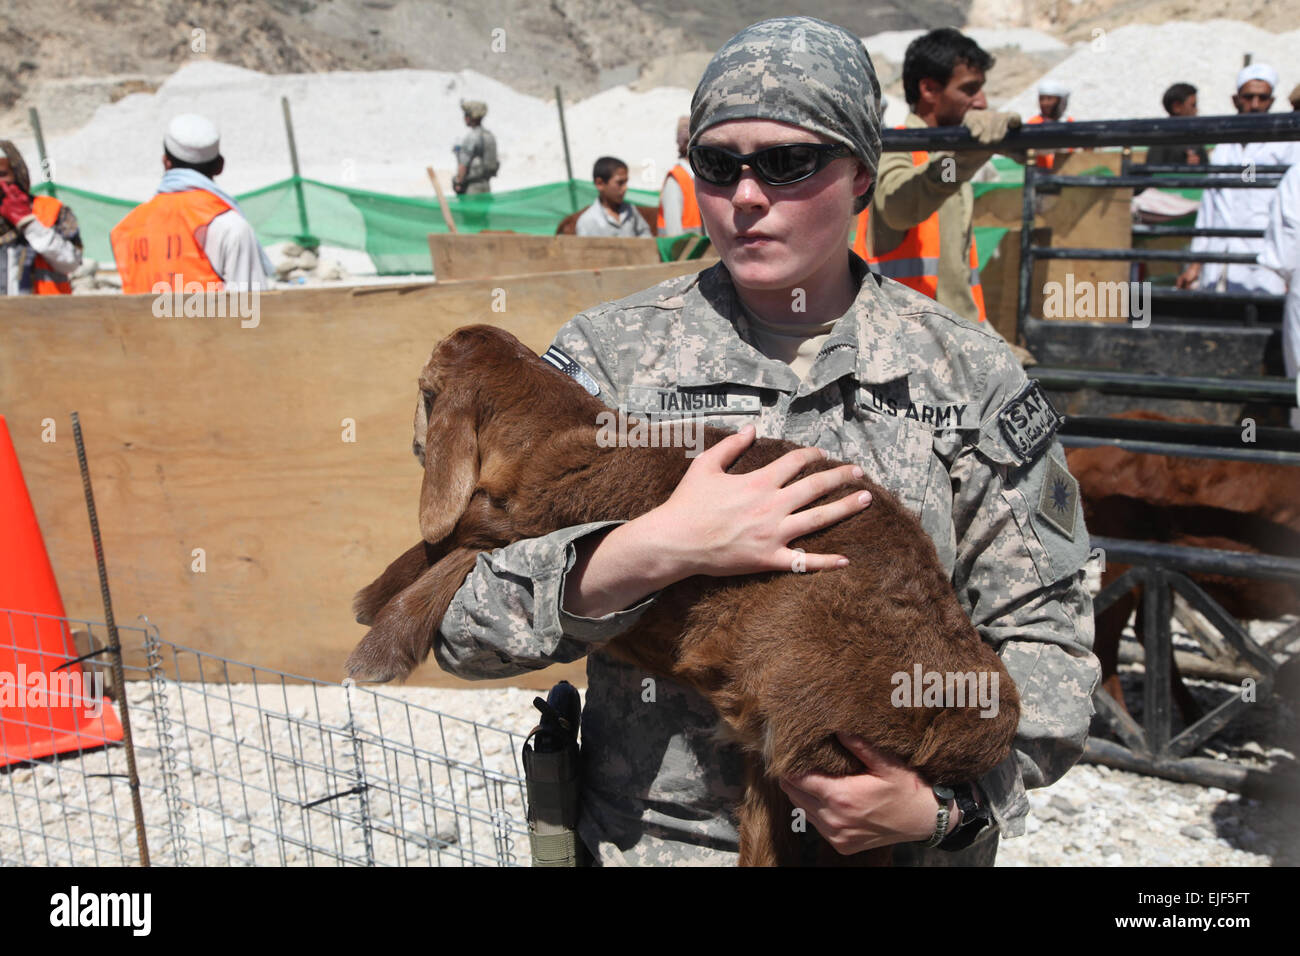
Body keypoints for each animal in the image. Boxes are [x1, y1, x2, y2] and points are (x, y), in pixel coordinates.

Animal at [351, 325, 1019, 868]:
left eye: (423, 390)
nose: (414, 443)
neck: (556, 431)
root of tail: (979, 721)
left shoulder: (551, 511)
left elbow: (464, 540)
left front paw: (376, 647)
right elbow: (456, 538)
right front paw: (372, 601)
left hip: (816, 716)